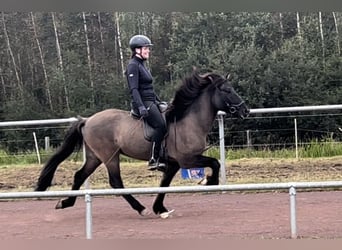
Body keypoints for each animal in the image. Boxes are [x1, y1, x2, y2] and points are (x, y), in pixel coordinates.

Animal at [35, 71, 248, 219]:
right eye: (227, 90)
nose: (245, 110)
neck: (188, 121)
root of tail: (87, 121)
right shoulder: (187, 160)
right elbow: (214, 163)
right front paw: (208, 181)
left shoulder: (173, 164)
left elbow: (164, 184)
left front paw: (160, 209)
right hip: (109, 156)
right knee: (116, 182)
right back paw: (141, 208)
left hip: (95, 157)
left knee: (79, 175)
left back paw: (65, 203)